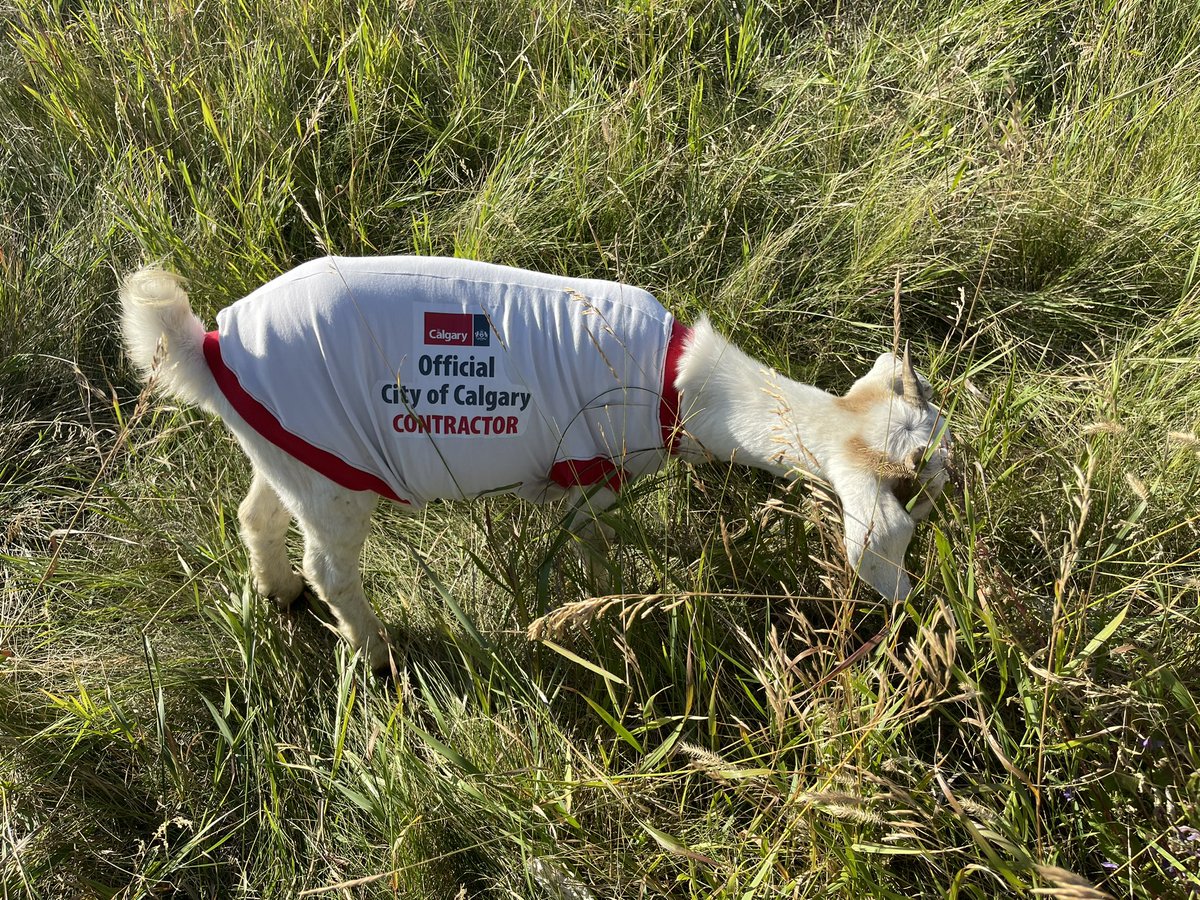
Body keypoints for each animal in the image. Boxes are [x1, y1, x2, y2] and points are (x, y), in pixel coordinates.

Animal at [120, 256, 952, 673]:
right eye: (905, 519)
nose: (917, 606)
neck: (681, 386)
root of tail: (207, 347)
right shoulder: (590, 475)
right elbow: (595, 548)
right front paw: (605, 604)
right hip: (333, 486)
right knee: (332, 568)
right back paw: (377, 651)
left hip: (297, 451)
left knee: (255, 513)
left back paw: (279, 592)